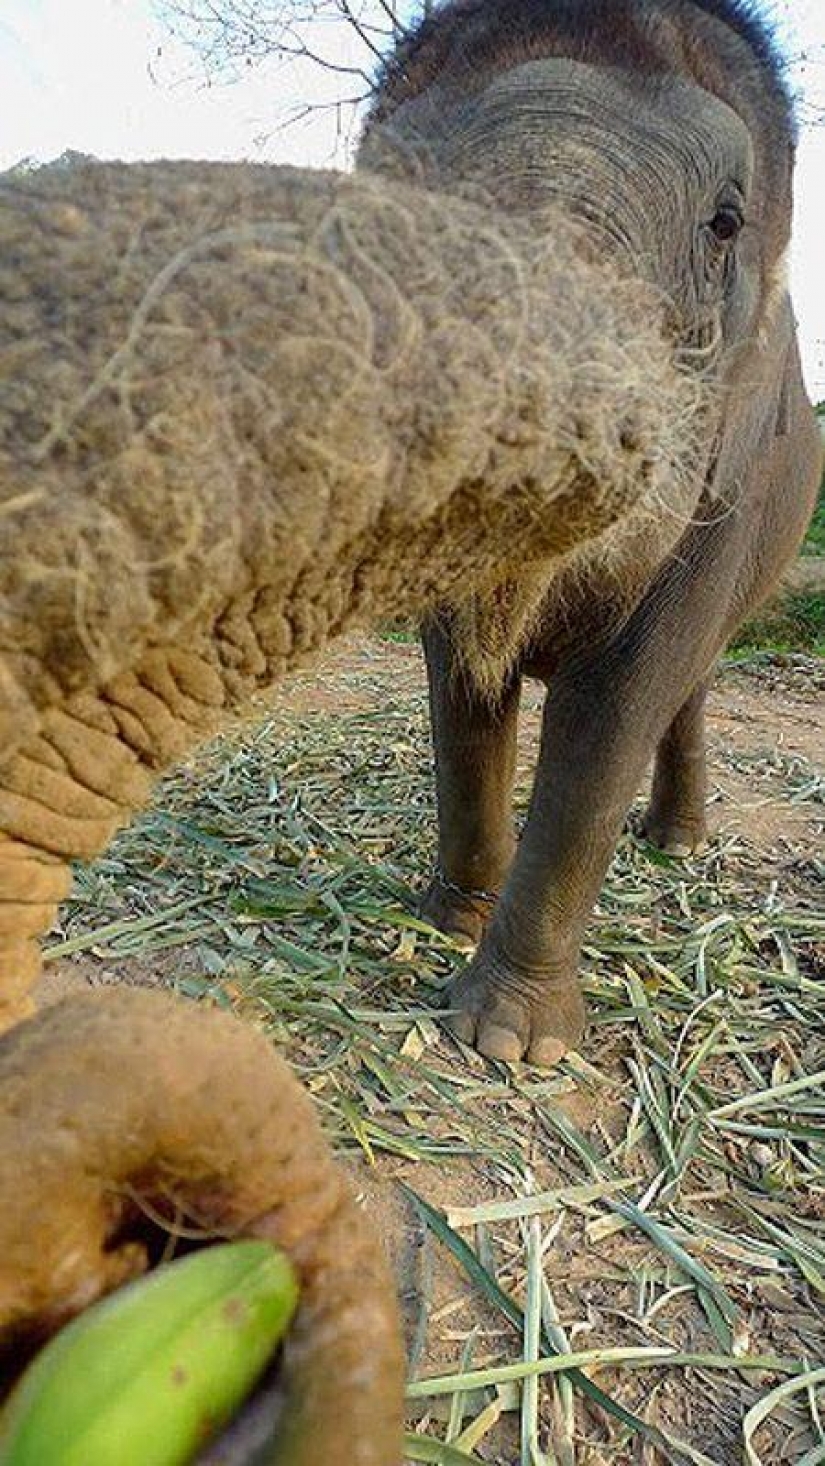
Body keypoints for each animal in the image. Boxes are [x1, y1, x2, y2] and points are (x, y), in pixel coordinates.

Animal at [358, 0, 824, 1066]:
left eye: (724, 223)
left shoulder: (726, 479)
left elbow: (618, 698)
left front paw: (506, 1044)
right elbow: (458, 680)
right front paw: (449, 918)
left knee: (689, 679)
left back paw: (677, 842)